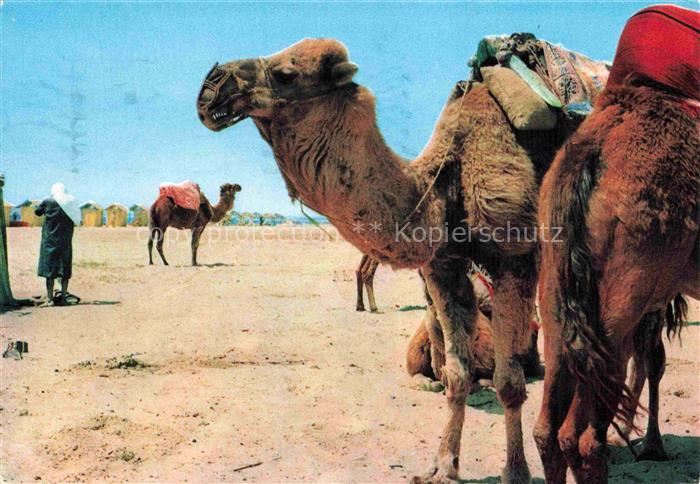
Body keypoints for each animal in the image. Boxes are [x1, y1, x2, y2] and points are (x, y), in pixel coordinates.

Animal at [197, 38, 591, 482]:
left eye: (286, 74)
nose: (210, 86)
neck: (441, 186)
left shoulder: (513, 260)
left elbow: (508, 382)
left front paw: (516, 471)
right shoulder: (444, 267)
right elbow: (456, 374)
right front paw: (442, 466)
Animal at [534, 6, 699, 482]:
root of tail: (591, 152)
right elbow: (654, 359)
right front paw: (653, 446)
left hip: (557, 285)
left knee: (548, 429)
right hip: (625, 290)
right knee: (582, 436)